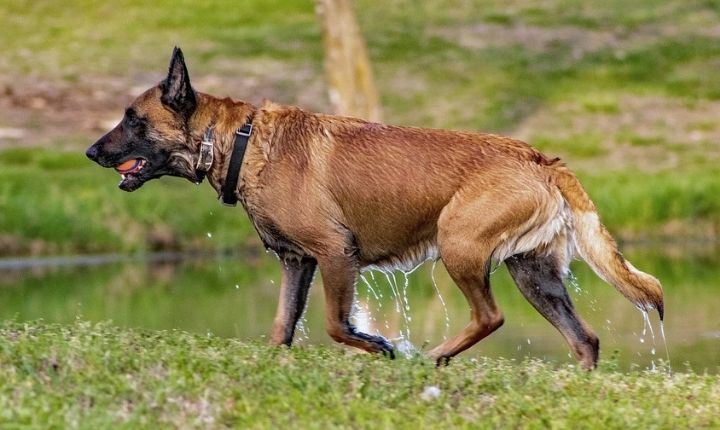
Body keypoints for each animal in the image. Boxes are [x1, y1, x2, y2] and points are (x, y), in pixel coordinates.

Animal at [86, 48, 664, 368]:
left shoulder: (335, 255)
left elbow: (336, 325)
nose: (91, 152)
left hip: (458, 244)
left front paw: (382, 346)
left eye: (132, 119)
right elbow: (281, 329)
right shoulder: (298, 263)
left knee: (490, 316)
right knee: (584, 339)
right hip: (534, 273)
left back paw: (431, 358)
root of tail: (540, 158)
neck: (240, 141)